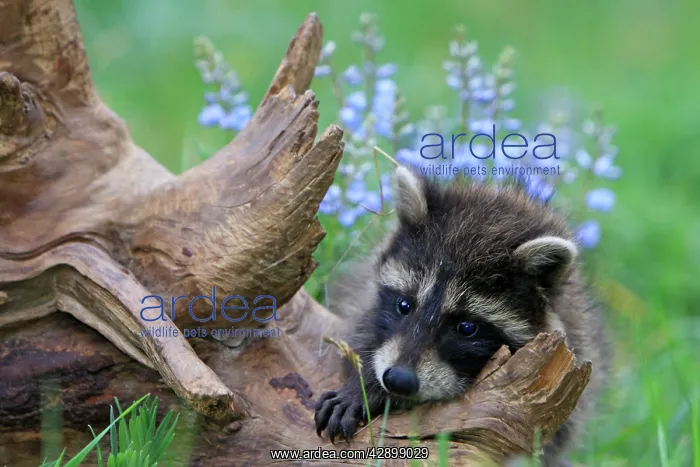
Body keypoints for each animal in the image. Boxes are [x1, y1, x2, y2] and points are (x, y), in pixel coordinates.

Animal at [314, 166, 609, 466]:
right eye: (404, 305)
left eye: (466, 327)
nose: (398, 379)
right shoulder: (365, 301)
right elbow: (362, 335)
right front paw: (364, 384)